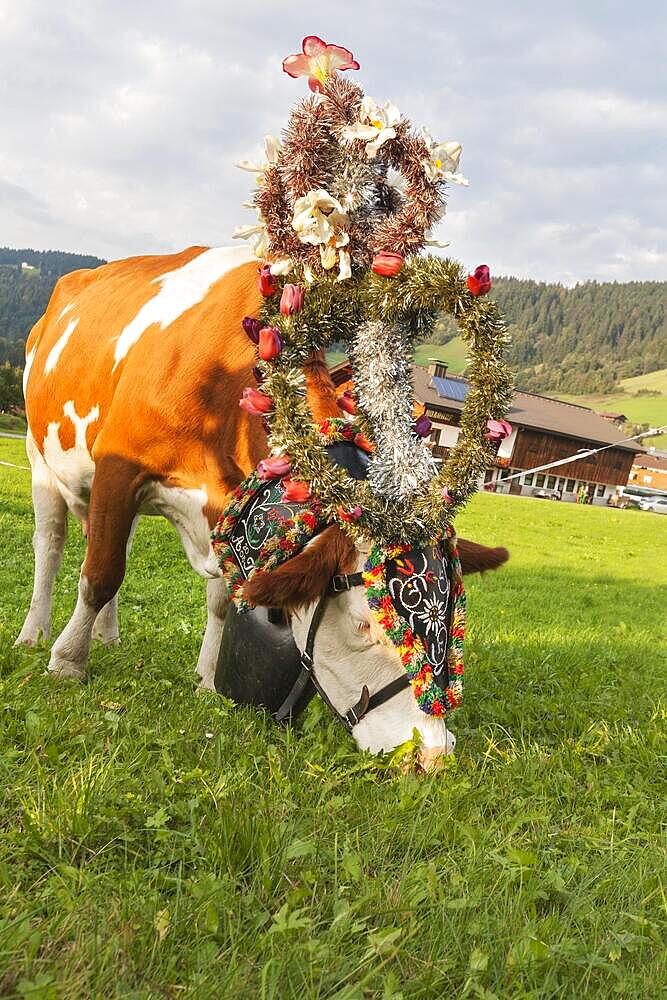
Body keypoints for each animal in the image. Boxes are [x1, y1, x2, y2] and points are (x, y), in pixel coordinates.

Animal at [17, 244, 506, 764]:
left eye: (453, 616)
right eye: (363, 624)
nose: (433, 753)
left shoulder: (223, 505)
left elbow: (220, 598)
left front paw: (207, 679)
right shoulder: (118, 466)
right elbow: (101, 574)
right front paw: (68, 662)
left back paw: (106, 635)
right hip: (39, 454)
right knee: (53, 545)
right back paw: (37, 633)